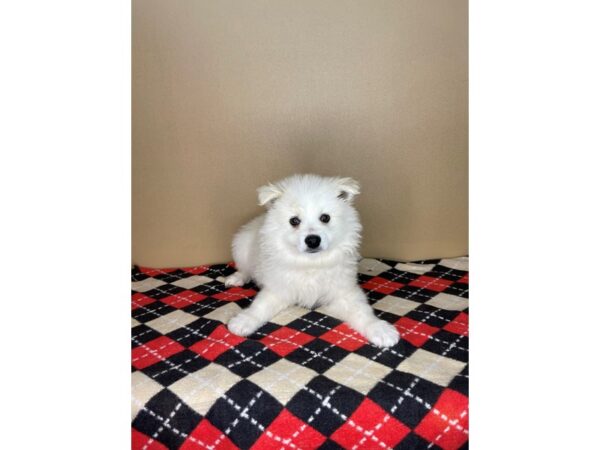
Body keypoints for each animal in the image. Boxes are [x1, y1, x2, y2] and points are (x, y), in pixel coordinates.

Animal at [225, 173, 398, 348]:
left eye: (325, 218)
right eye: (294, 221)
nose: (313, 240)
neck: (311, 262)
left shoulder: (343, 291)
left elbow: (362, 311)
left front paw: (380, 329)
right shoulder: (278, 289)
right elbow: (260, 306)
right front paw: (243, 321)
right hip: (241, 246)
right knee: (245, 269)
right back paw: (236, 278)